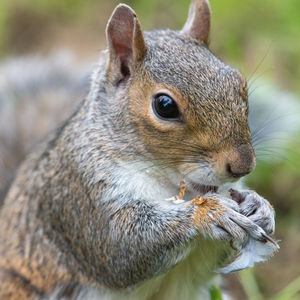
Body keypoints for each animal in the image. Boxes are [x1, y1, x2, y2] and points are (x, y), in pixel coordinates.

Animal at [0, 1, 278, 298]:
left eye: (239, 82)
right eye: (165, 106)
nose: (243, 165)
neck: (168, 182)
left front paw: (259, 205)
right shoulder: (78, 193)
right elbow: (121, 248)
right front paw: (209, 213)